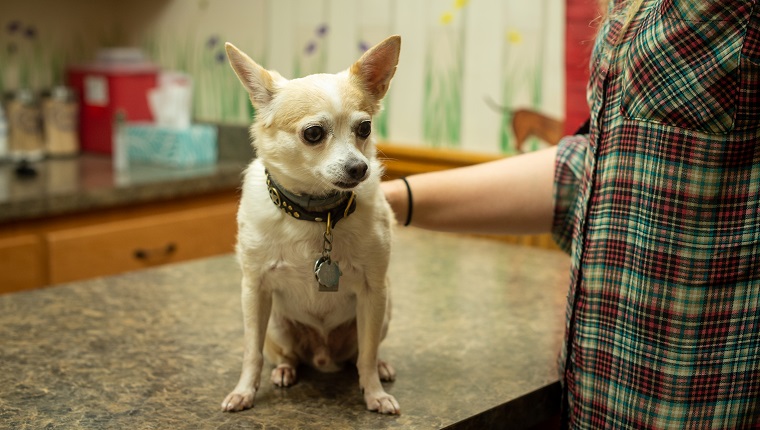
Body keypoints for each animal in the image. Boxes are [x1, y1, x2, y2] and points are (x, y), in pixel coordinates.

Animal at [220, 36, 400, 414]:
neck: (318, 213)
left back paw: (380, 366)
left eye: (364, 129)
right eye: (314, 133)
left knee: (364, 353)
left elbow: (366, 353)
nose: (359, 168)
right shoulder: (254, 290)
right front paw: (244, 391)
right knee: (283, 354)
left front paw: (374, 394)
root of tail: (322, 355)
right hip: (276, 324)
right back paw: (285, 371)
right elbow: (251, 353)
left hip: (384, 311)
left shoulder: (374, 291)